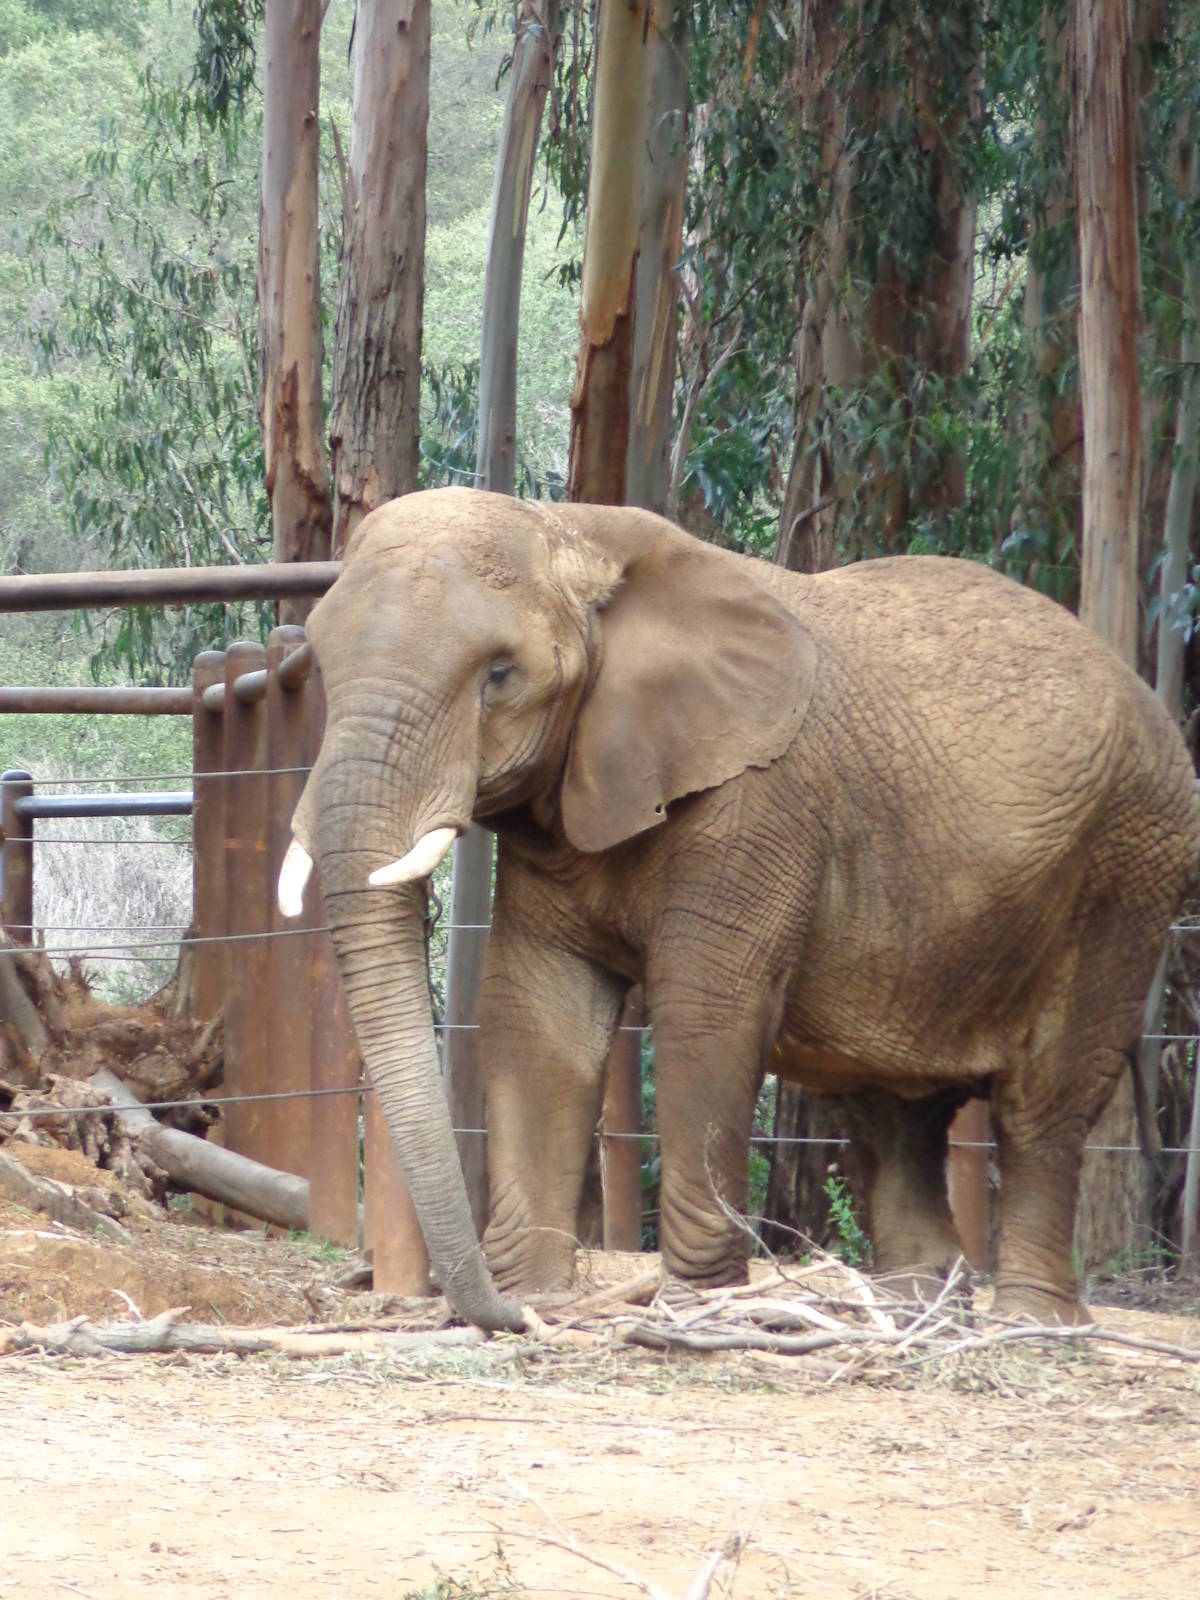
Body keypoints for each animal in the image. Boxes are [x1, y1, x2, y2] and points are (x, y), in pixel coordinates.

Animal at [278, 486, 1200, 1332]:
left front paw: (694, 1310)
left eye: (500, 674)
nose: (499, 1312)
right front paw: (540, 1299)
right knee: (889, 1104)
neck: (576, 528)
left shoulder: (757, 805)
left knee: (1042, 1100)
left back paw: (1029, 1325)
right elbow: (538, 1012)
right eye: (317, 661)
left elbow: (706, 1011)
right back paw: (912, 1312)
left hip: (1129, 863)